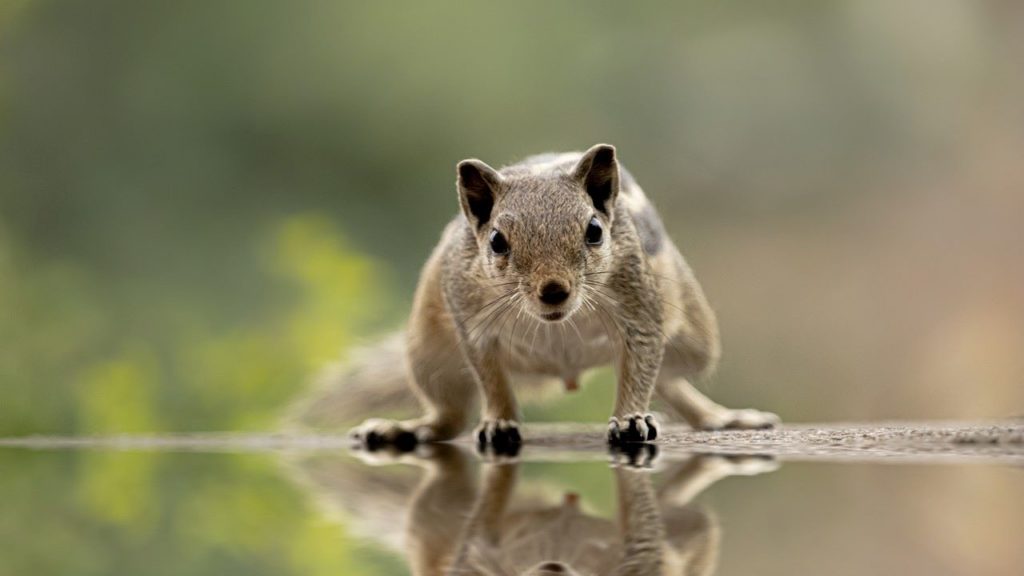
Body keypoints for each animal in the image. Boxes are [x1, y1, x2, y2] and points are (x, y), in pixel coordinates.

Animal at [309, 141, 774, 446]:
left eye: (594, 230)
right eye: (496, 241)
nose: (553, 291)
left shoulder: (640, 309)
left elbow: (641, 367)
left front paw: (630, 419)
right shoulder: (472, 324)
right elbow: (491, 379)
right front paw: (499, 423)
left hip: (697, 343)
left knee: (670, 379)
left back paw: (718, 417)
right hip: (429, 355)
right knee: (448, 417)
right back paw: (406, 429)